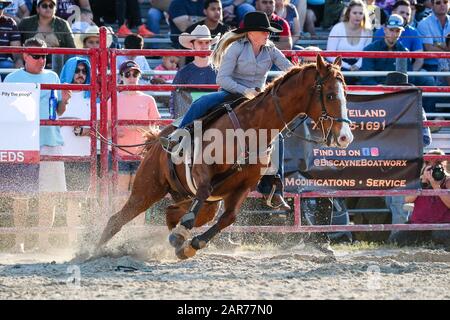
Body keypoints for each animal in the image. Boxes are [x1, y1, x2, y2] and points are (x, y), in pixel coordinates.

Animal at [97, 53, 356, 258]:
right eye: (330, 95)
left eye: (346, 94)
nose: (345, 137)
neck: (251, 127)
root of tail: (156, 142)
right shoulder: (202, 170)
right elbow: (203, 192)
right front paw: (184, 236)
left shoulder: (242, 187)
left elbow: (228, 218)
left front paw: (190, 244)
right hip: (147, 189)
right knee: (116, 220)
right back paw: (95, 250)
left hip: (197, 201)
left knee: (173, 213)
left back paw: (173, 240)